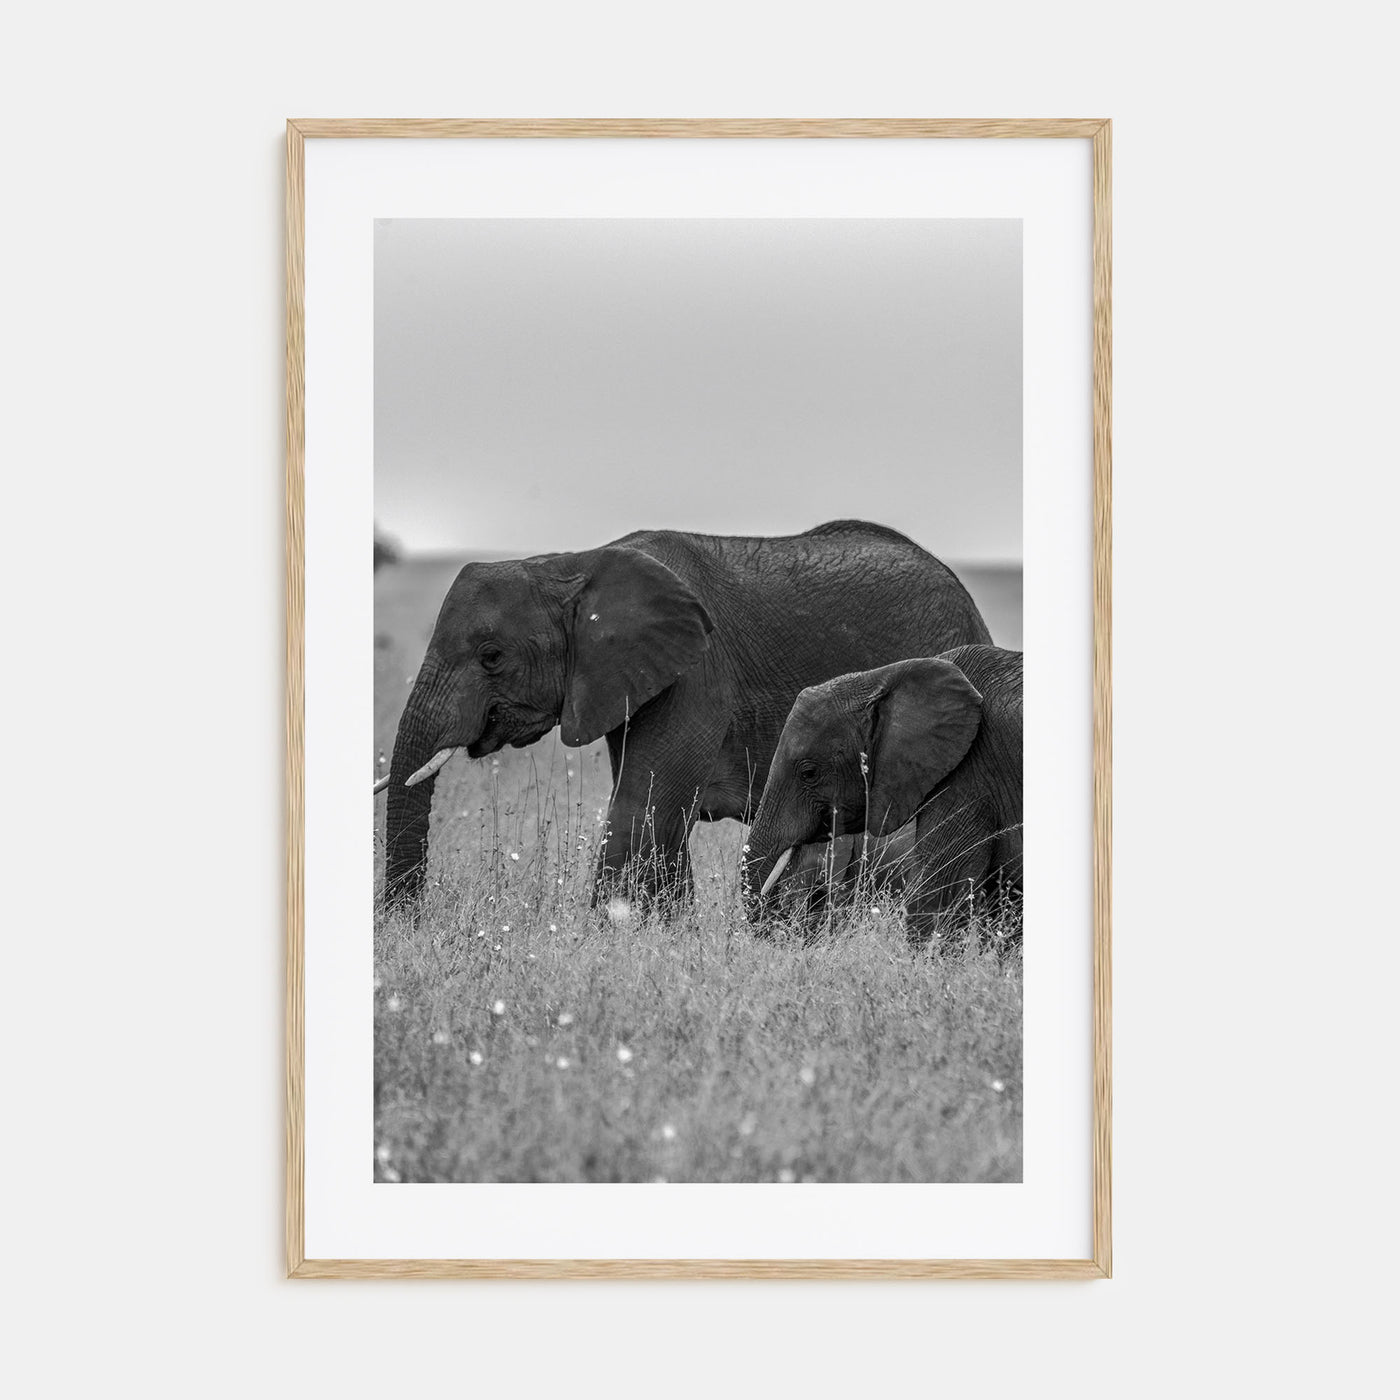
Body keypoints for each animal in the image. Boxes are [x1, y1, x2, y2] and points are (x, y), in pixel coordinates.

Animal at [376, 521, 992, 909]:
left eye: (491, 656)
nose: (410, 923)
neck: (572, 565)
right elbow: (660, 814)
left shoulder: (696, 672)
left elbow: (641, 808)